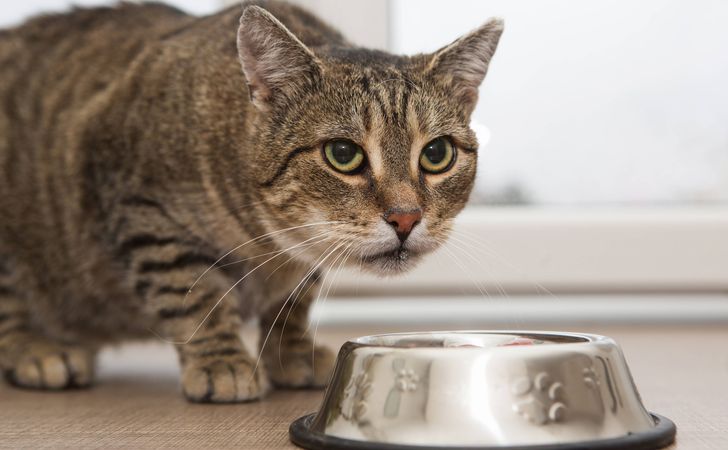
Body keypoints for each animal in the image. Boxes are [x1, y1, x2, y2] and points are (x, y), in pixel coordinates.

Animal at [0, 0, 500, 400]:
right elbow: (193, 294)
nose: (405, 218)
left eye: (436, 154)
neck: (269, 243)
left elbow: (294, 303)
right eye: (343, 154)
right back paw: (39, 351)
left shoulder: (308, 252)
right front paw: (222, 362)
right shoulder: (143, 210)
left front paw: (290, 352)